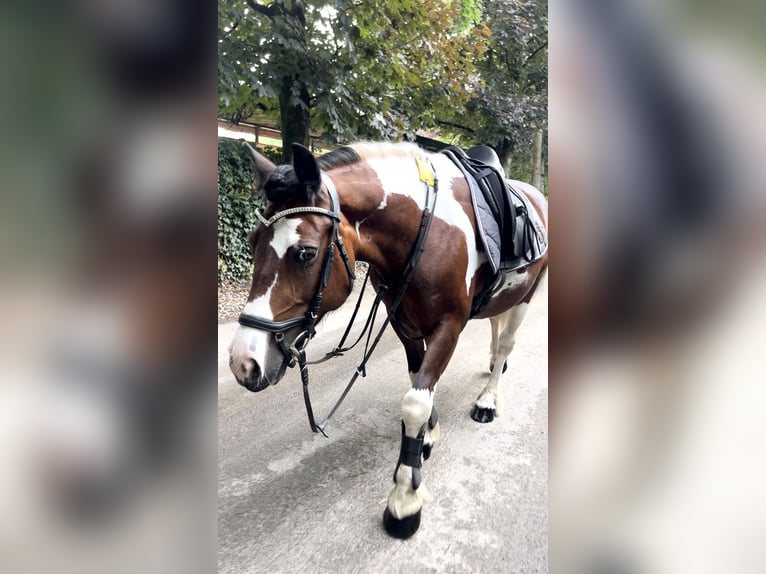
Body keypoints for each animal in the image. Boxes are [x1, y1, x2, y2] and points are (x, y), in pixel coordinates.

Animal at [228, 141, 548, 539]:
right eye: (252, 241)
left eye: (306, 253)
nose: (244, 362)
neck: (426, 231)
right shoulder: (401, 321)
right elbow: (417, 379)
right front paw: (427, 435)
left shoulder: (449, 326)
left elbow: (414, 402)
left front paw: (405, 500)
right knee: (494, 326)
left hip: (527, 295)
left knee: (507, 342)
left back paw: (488, 398)